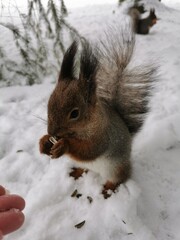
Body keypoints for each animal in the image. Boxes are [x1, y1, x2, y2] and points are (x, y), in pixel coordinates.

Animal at [38, 31, 155, 199]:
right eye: (49, 103)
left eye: (75, 113)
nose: (52, 132)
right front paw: (44, 142)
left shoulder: (103, 137)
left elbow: (89, 150)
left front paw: (64, 145)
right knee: (86, 168)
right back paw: (77, 171)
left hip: (115, 168)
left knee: (120, 178)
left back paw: (108, 189)